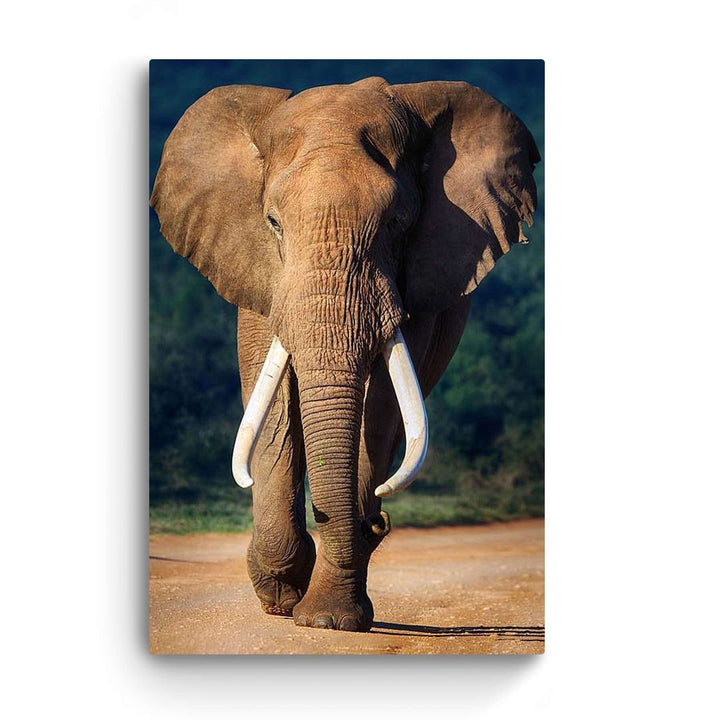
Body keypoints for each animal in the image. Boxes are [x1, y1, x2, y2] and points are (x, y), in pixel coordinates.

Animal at [151, 76, 540, 632]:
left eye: (399, 222)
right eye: (273, 222)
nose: (374, 519)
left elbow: (378, 407)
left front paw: (328, 619)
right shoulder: (257, 271)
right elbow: (272, 403)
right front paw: (283, 594)